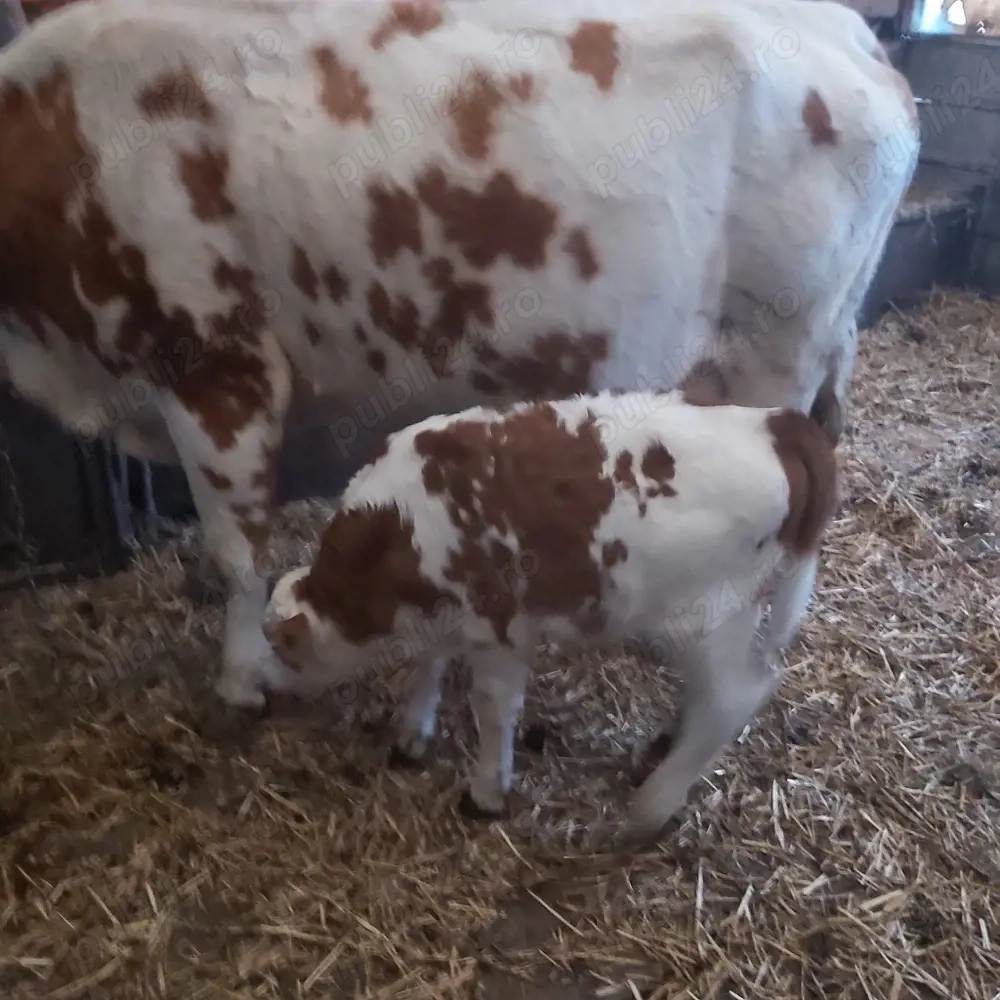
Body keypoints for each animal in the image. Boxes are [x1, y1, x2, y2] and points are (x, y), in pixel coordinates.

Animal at [262, 390, 839, 844]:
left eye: (282, 650)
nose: (268, 696)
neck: (394, 533)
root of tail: (778, 424)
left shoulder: (497, 625)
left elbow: (493, 707)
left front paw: (486, 791)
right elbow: (430, 661)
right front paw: (412, 730)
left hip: (703, 619)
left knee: (735, 696)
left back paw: (648, 810)